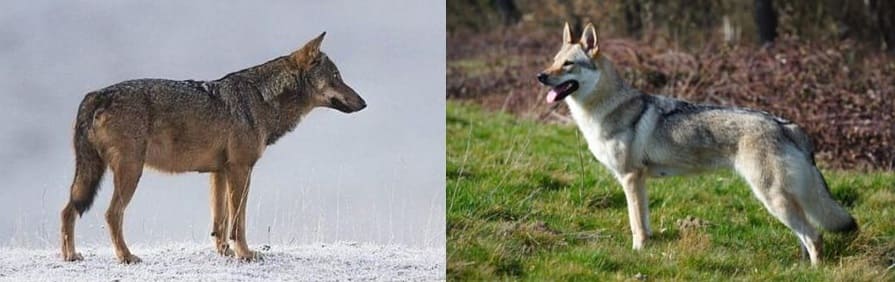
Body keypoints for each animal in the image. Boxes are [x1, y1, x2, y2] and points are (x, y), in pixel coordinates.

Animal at [61, 32, 366, 264]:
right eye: (336, 76)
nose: (364, 103)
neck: (261, 99)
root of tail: (97, 94)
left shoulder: (219, 173)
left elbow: (220, 222)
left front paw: (225, 252)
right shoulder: (241, 170)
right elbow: (238, 221)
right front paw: (245, 254)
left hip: (93, 174)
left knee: (67, 210)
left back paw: (70, 256)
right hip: (130, 173)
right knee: (111, 215)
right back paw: (126, 256)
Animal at [536, 23, 856, 266]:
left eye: (568, 64)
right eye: (553, 60)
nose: (540, 75)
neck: (606, 109)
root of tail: (787, 124)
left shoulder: (630, 178)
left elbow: (636, 224)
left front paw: (637, 253)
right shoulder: (640, 181)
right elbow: (645, 222)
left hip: (772, 198)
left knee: (814, 236)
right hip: (782, 201)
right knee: (805, 236)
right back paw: (798, 268)